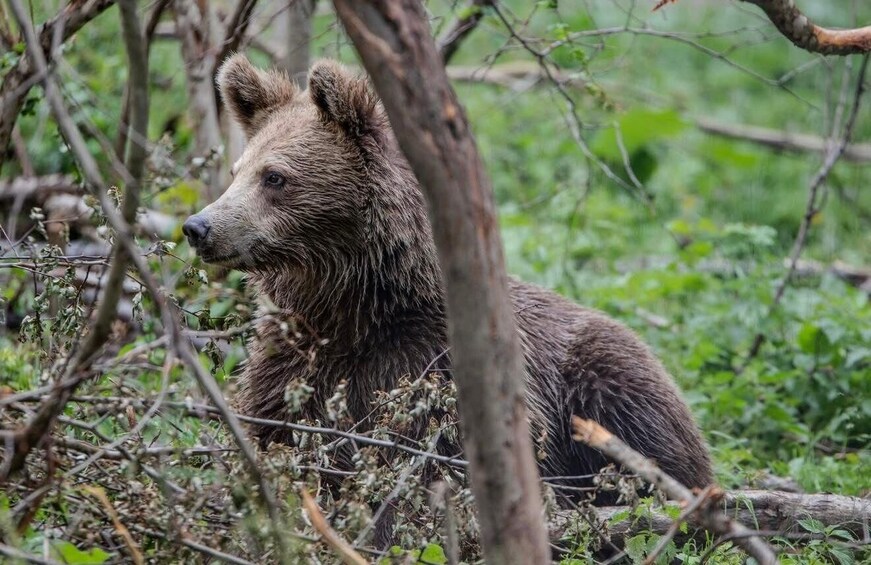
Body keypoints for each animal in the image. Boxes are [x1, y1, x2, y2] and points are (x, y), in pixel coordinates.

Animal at [182, 54, 713, 507]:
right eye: (237, 170)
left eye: (275, 177)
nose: (199, 226)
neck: (357, 308)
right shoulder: (295, 362)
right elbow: (276, 432)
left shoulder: (436, 370)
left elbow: (433, 464)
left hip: (607, 382)